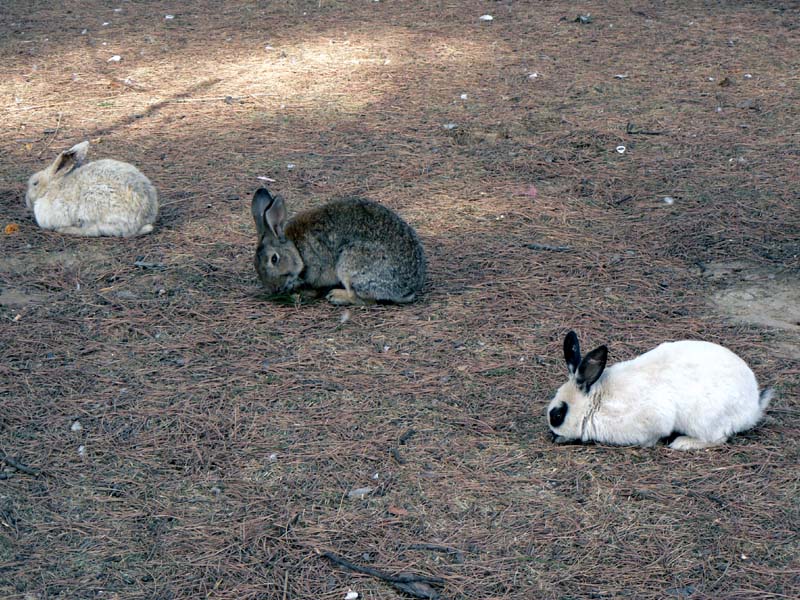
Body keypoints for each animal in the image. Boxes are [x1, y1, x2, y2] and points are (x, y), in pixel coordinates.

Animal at [25, 142, 159, 238]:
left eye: (35, 183)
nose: (27, 201)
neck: (52, 187)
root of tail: (145, 217)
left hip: (94, 201)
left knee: (94, 230)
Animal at [548, 330, 772, 452]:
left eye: (557, 415)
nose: (553, 436)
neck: (596, 402)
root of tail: (753, 408)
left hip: (704, 420)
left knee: (719, 438)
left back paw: (682, 443)